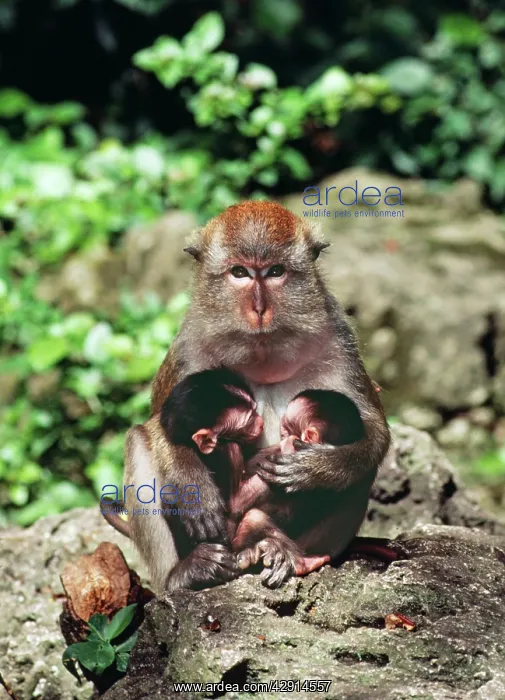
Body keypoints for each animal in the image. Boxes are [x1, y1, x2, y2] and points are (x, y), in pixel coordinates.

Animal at [121, 200, 391, 593]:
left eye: (275, 272)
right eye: (240, 273)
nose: (260, 308)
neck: (262, 354)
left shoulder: (339, 341)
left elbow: (373, 429)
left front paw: (316, 468)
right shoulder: (189, 348)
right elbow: (161, 424)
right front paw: (194, 485)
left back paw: (292, 554)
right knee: (138, 441)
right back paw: (183, 574)